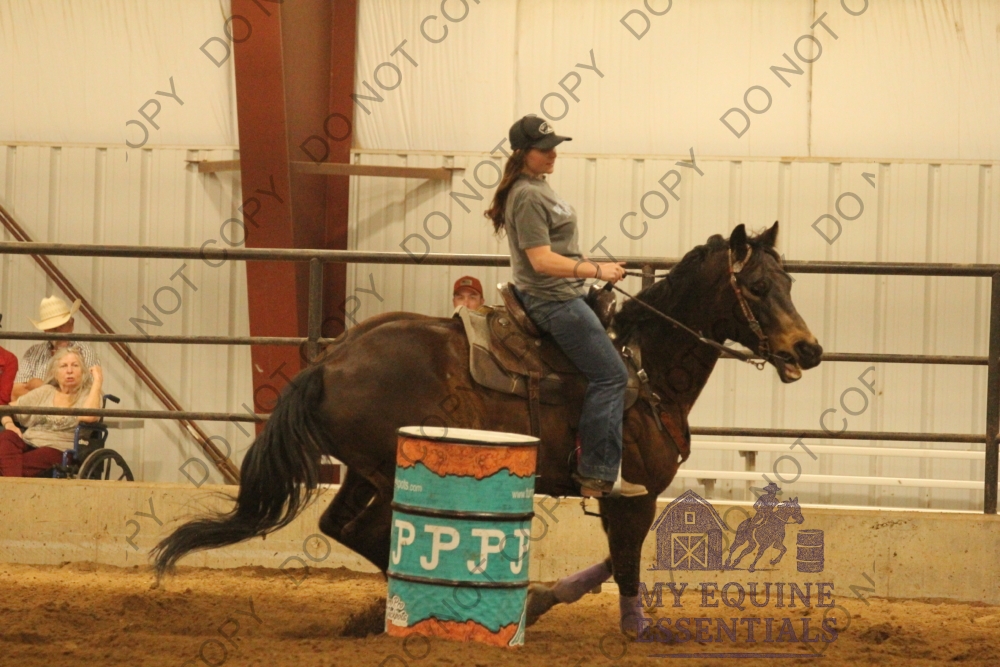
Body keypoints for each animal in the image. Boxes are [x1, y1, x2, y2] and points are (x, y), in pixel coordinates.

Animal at [152, 222, 823, 635]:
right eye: (756, 286)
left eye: (791, 282)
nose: (809, 350)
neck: (645, 367)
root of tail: (329, 362)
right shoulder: (628, 492)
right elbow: (628, 560)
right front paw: (628, 626)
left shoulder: (630, 498)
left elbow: (620, 560)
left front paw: (543, 599)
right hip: (394, 468)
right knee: (373, 530)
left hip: (363, 471)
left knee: (338, 525)